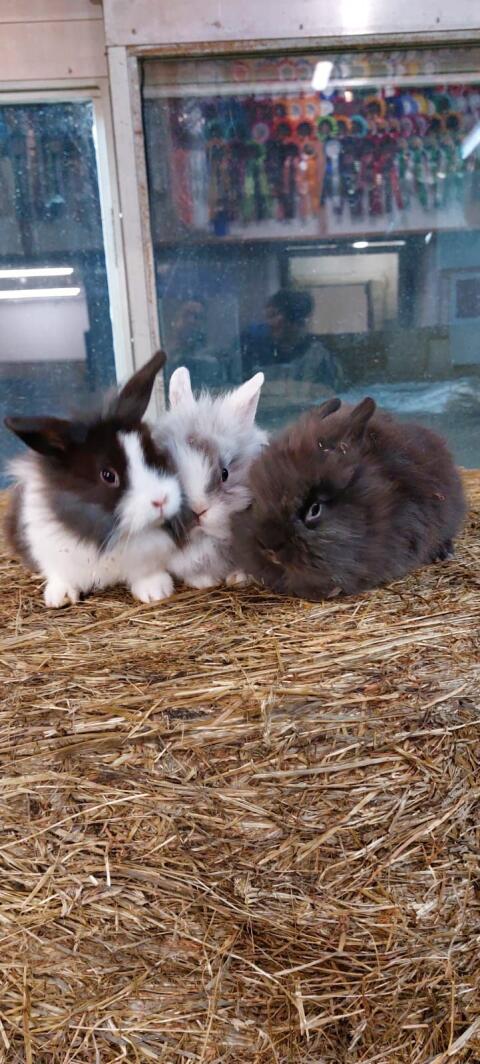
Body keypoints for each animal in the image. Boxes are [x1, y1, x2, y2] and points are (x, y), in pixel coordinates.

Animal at [4, 352, 188, 608]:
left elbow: (147, 572)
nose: (161, 500)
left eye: (153, 456)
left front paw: (156, 592)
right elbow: (59, 574)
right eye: (108, 475)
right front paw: (59, 598)